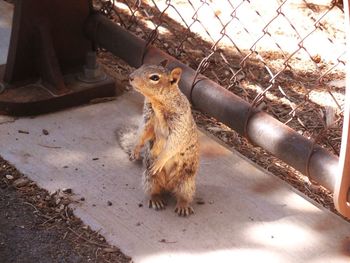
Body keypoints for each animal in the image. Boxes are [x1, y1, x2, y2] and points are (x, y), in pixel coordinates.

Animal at [129, 60, 200, 218]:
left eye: (155, 78)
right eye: (142, 65)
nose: (130, 77)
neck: (157, 104)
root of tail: (168, 185)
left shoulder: (179, 124)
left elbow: (173, 144)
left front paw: (160, 161)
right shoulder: (148, 119)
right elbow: (142, 134)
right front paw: (135, 150)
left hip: (186, 182)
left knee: (183, 195)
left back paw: (183, 206)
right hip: (149, 178)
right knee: (154, 190)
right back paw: (156, 200)